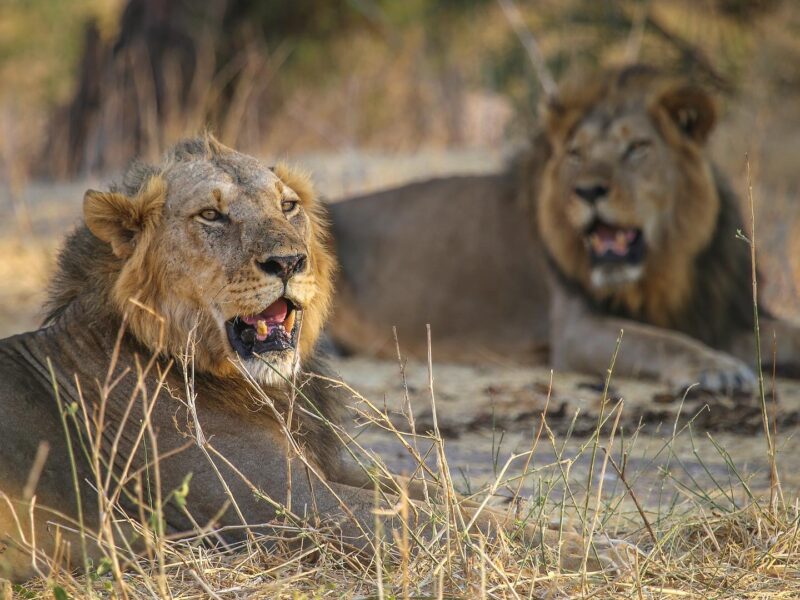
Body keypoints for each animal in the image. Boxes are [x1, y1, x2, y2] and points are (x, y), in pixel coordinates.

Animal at [0, 136, 629, 582]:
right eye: (211, 216)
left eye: (288, 206)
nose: (289, 262)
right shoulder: (294, 507)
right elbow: (439, 521)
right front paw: (595, 556)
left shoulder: (327, 469)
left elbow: (461, 506)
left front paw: (617, 541)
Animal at [328, 65, 800, 394]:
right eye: (576, 154)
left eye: (637, 148)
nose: (588, 191)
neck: (667, 272)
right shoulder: (575, 329)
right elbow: (662, 341)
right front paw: (716, 368)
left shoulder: (725, 314)